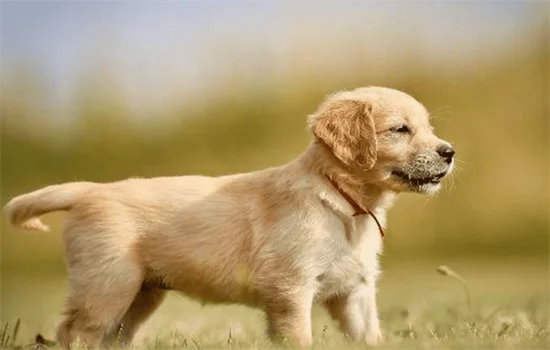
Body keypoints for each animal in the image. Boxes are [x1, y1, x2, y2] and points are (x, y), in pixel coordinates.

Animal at [3, 87, 458, 348]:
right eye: (400, 129)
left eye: (428, 128)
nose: (449, 152)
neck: (342, 200)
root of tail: (88, 190)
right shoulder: (289, 288)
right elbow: (299, 337)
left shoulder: (356, 292)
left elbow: (370, 337)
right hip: (106, 284)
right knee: (75, 332)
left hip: (140, 294)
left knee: (113, 337)